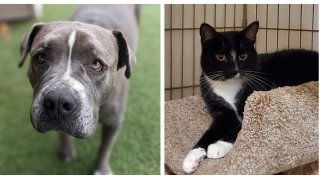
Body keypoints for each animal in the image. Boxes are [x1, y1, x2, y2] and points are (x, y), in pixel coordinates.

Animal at [17, 4, 138, 174]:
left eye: (96, 64)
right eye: (40, 57)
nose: (58, 100)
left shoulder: (114, 122)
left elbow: (105, 147)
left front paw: (101, 169)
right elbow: (63, 134)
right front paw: (66, 150)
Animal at [181, 21, 318, 174]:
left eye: (243, 56)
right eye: (220, 57)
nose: (235, 71)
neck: (229, 87)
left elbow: (241, 128)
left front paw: (219, 146)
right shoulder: (222, 114)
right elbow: (210, 133)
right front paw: (192, 157)